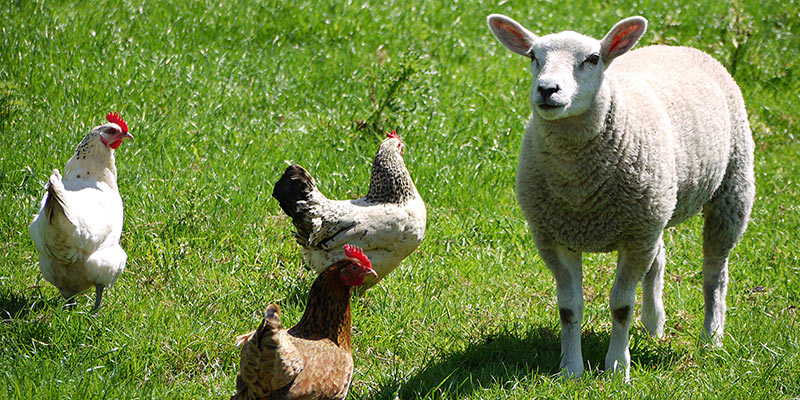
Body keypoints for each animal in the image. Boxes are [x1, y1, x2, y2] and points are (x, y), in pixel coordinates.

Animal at [488, 14, 756, 380]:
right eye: (533, 56)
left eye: (592, 59)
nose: (547, 89)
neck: (580, 191)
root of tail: (675, 47)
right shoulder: (555, 236)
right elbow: (569, 308)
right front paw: (571, 369)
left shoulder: (633, 236)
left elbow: (621, 306)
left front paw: (617, 367)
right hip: (655, 210)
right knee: (659, 256)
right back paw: (654, 323)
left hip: (731, 188)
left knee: (715, 273)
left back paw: (712, 337)